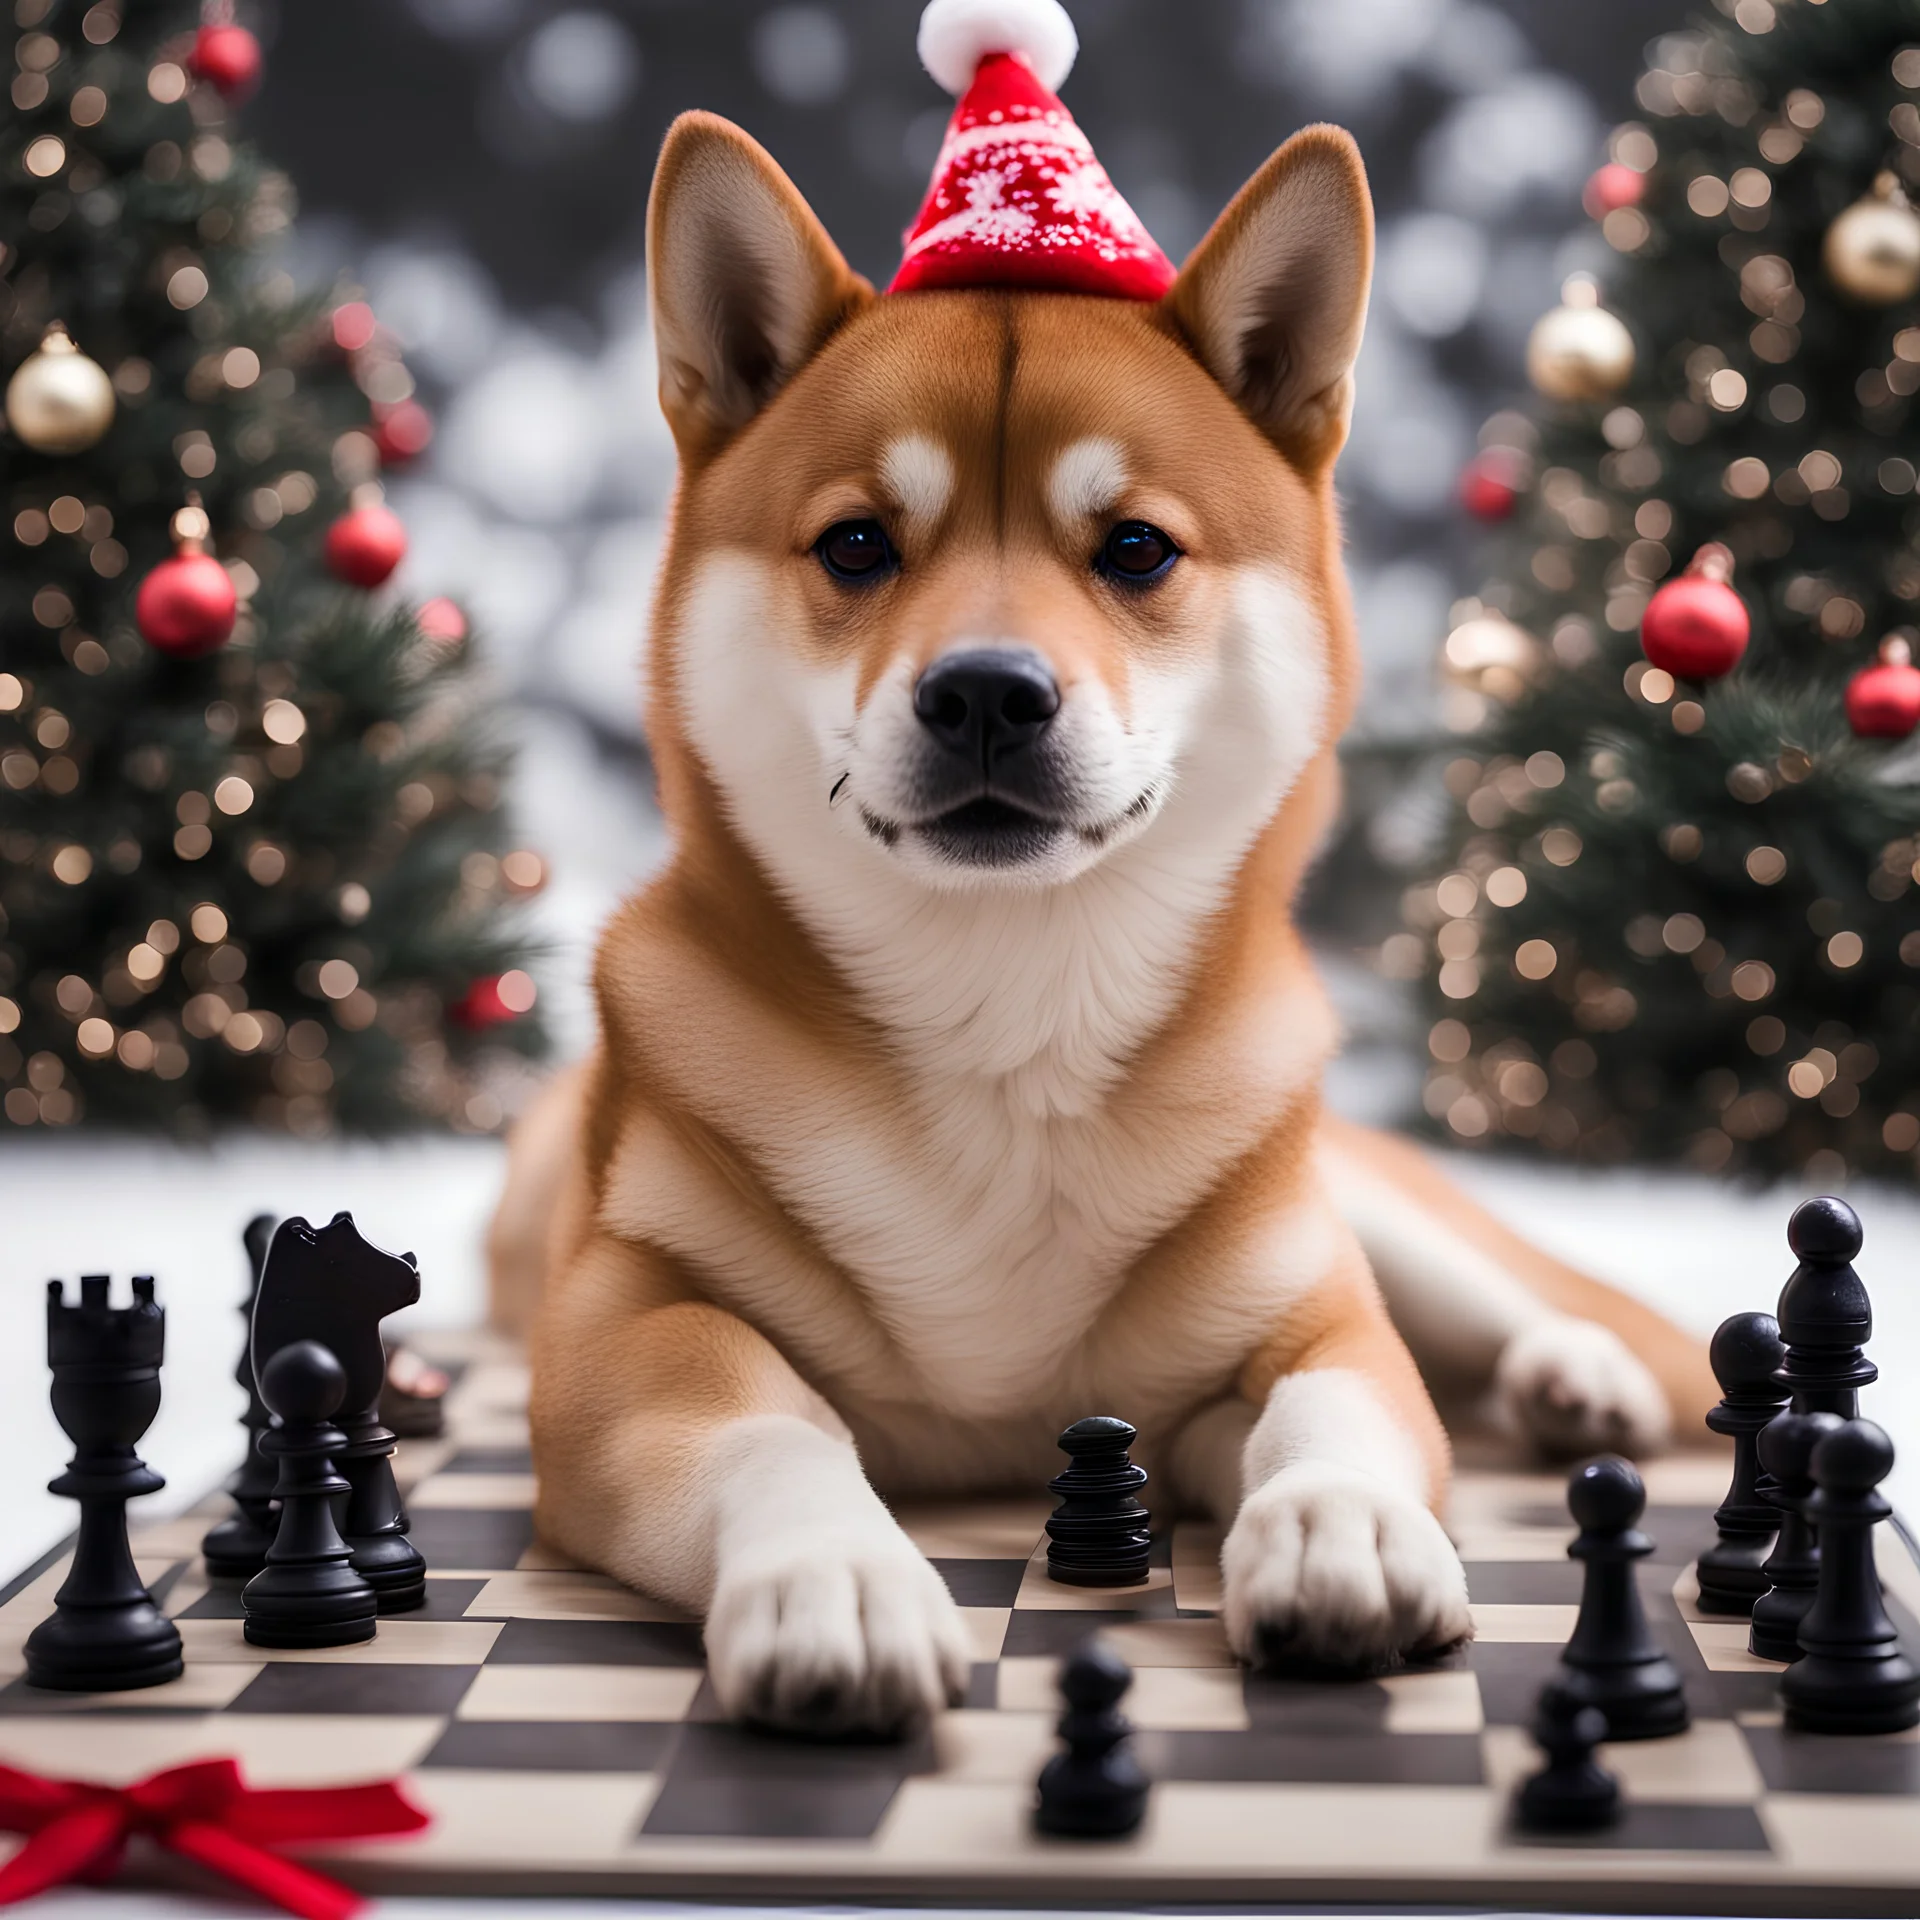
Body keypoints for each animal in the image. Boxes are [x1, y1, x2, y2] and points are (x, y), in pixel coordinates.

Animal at [491, 0, 1712, 1743]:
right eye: (857, 545)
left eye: (1134, 548)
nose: (988, 693)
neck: (1009, 1032)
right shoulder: (624, 1336)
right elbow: (770, 1429)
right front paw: (833, 1575)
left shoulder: (1304, 1310)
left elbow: (1343, 1398)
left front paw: (1337, 1521)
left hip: (1358, 1192)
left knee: (1517, 1314)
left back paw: (1573, 1379)